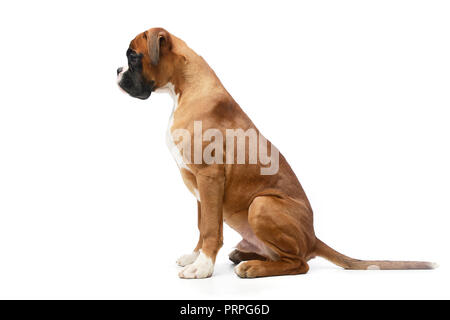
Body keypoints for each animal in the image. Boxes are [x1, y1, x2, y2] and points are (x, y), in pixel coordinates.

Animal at [117, 26, 436, 278]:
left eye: (133, 57)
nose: (117, 71)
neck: (184, 88)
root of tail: (313, 238)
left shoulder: (209, 178)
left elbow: (210, 228)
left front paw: (202, 268)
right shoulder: (198, 186)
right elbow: (202, 224)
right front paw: (195, 258)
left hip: (261, 204)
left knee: (299, 263)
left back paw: (252, 268)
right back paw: (243, 256)